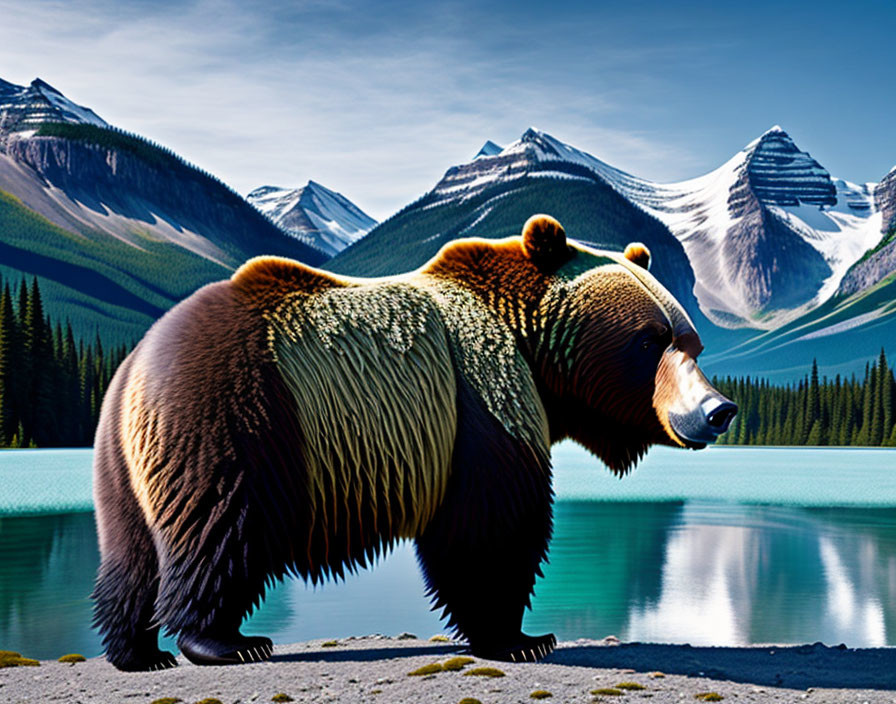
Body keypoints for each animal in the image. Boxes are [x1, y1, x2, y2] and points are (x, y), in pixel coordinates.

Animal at [91, 213, 736, 672]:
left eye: (692, 341)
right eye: (650, 340)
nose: (719, 410)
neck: (534, 352)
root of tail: (138, 365)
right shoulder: (480, 393)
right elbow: (492, 522)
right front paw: (520, 637)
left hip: (122, 457)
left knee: (131, 552)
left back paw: (138, 652)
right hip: (236, 414)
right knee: (221, 526)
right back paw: (224, 641)